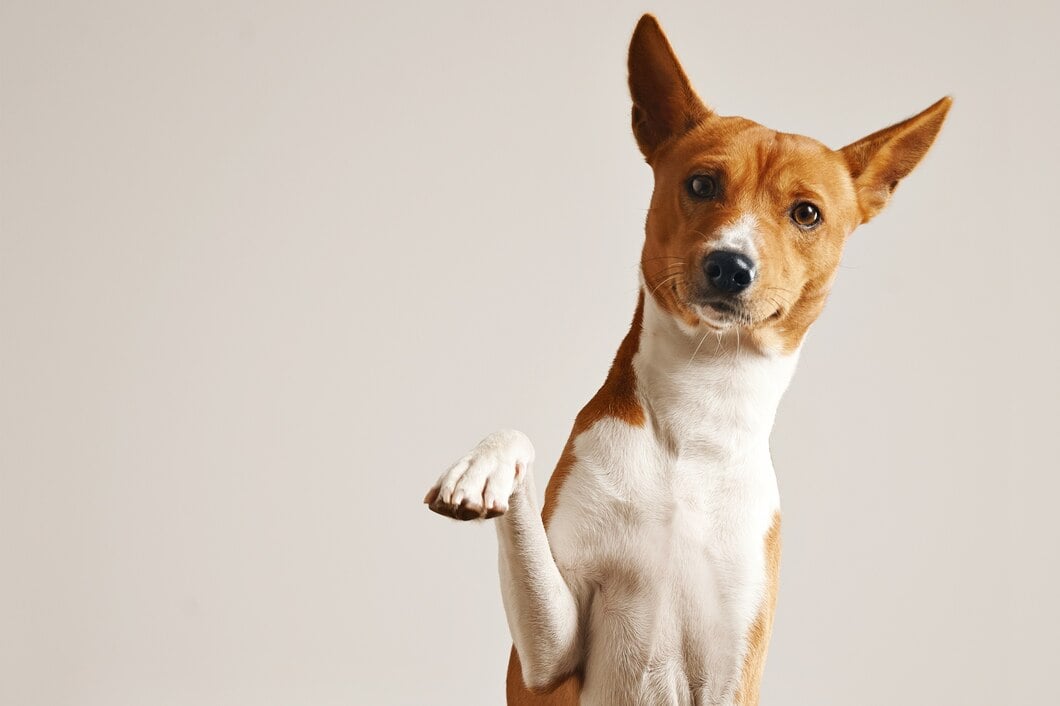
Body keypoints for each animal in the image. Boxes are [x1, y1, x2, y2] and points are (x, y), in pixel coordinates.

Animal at [421, 12, 953, 703]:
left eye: (806, 213)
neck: (701, 415)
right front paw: (483, 468)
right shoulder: (546, 662)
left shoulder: (735, 668)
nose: (730, 265)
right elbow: (518, 449)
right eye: (702, 184)